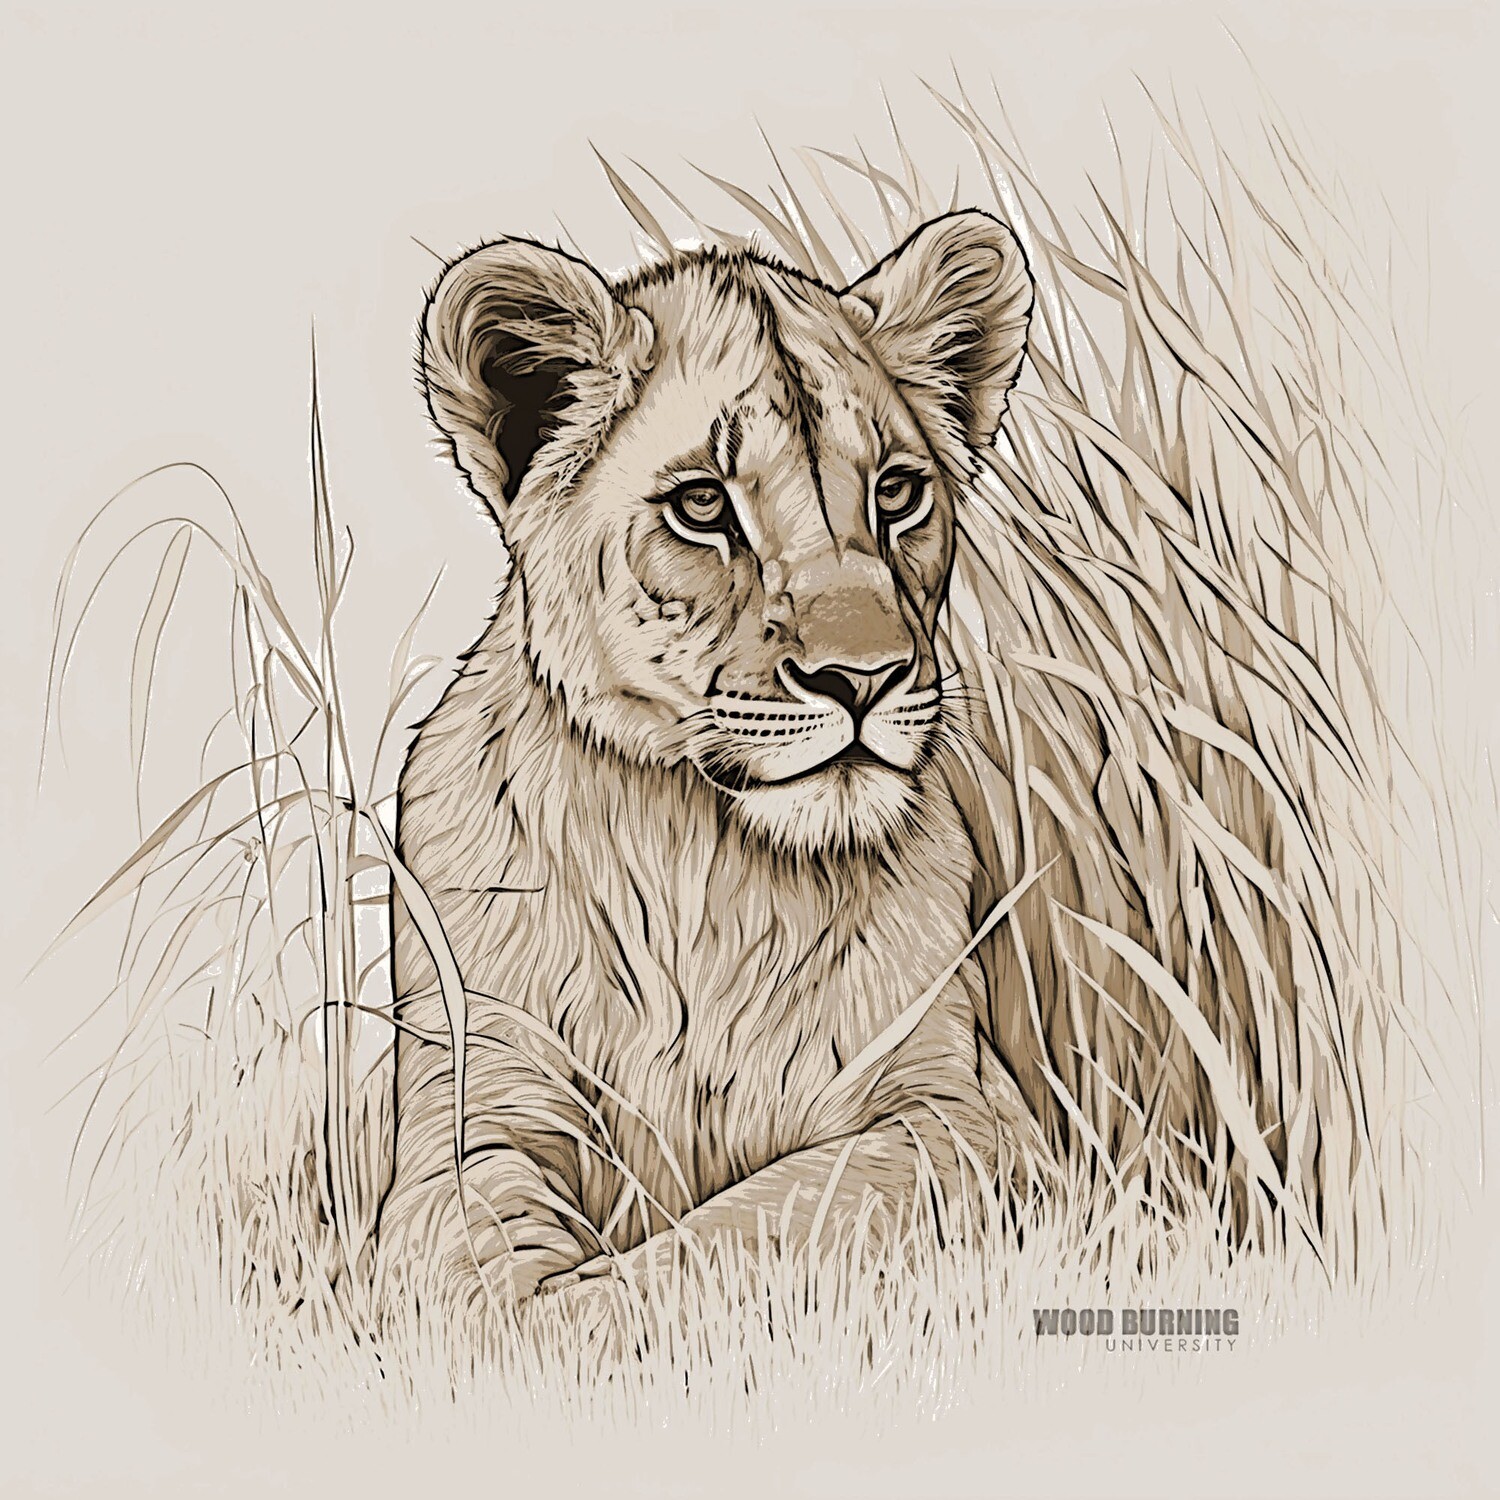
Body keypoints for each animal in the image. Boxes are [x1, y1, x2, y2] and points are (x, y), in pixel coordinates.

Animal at [374, 211, 1040, 1326]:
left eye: (896, 492)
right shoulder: (474, 1108)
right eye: (700, 506)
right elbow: (457, 1270)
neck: (706, 866)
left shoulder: (969, 1116)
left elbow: (752, 1227)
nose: (864, 677)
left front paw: (588, 1316)